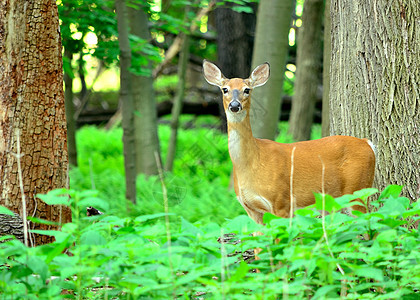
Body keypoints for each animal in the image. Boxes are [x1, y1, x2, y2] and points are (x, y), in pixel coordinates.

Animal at [202, 60, 376, 225]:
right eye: (225, 89)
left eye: (247, 89)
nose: (235, 105)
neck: (252, 163)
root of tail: (368, 143)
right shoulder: (252, 210)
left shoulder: (282, 202)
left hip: (359, 188)